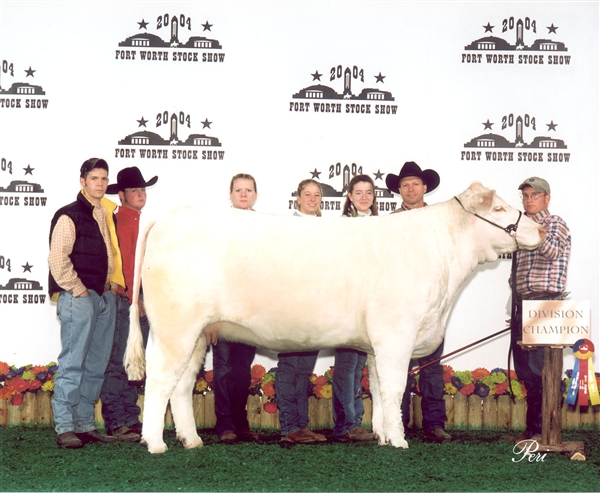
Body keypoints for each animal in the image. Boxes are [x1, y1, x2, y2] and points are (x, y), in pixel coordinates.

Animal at [123, 181, 544, 454]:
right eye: (500, 209)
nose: (540, 228)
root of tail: (168, 217)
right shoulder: (397, 335)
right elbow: (394, 388)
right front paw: (400, 441)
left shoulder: (377, 344)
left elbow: (378, 388)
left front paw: (382, 436)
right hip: (175, 327)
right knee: (160, 379)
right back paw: (155, 443)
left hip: (196, 333)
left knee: (181, 383)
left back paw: (191, 440)